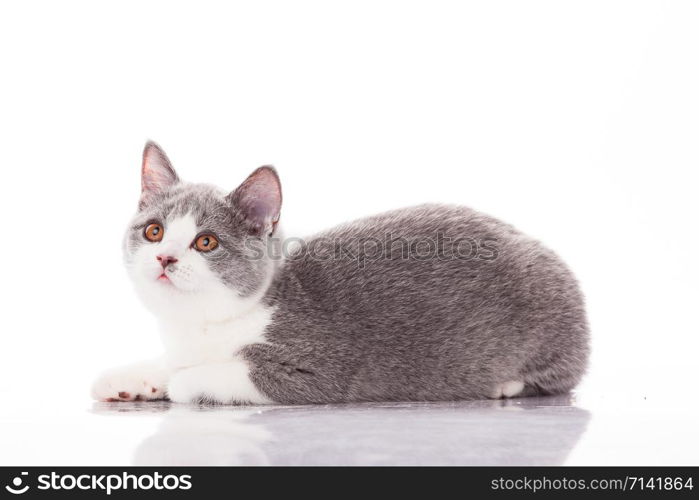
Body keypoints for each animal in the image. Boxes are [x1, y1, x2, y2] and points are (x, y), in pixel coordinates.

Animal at [90, 142, 588, 406]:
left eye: (206, 242)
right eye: (154, 231)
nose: (165, 258)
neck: (203, 324)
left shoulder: (316, 368)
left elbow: (204, 376)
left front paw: (177, 382)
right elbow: (171, 362)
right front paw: (131, 378)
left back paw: (505, 383)